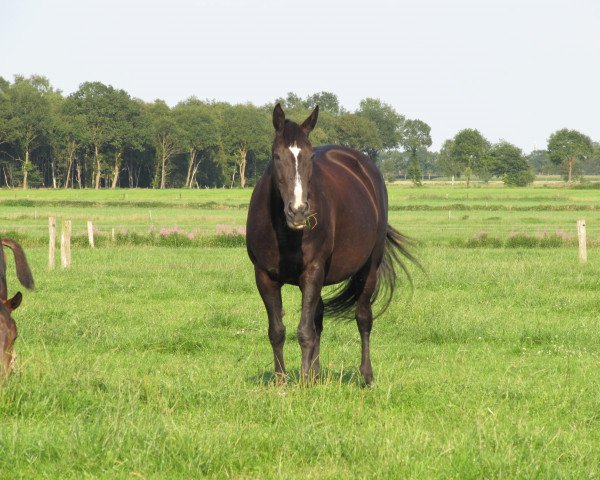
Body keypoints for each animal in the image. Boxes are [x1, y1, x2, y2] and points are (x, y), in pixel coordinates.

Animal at [245, 103, 418, 384]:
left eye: (310, 157)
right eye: (276, 156)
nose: (298, 211)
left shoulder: (313, 270)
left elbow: (304, 331)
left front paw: (304, 382)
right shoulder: (264, 276)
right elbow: (277, 331)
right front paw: (282, 382)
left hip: (368, 269)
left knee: (363, 318)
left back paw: (366, 376)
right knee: (319, 319)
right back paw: (316, 374)